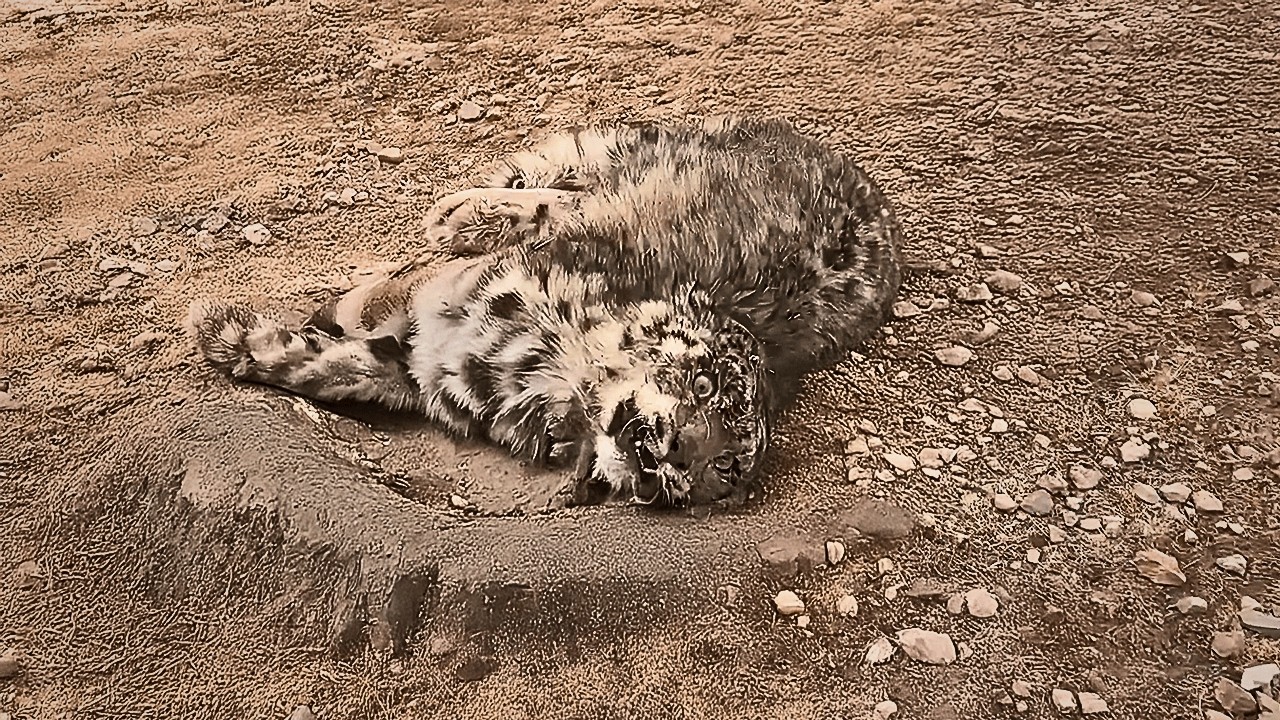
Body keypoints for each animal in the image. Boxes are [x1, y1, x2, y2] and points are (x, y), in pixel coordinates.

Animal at [187, 116, 903, 507]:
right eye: (704, 385)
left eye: (724, 467)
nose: (674, 454)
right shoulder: (439, 312)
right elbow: (363, 322)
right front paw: (225, 330)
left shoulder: (420, 370)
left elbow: (334, 365)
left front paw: (237, 338)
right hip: (613, 151)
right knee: (552, 182)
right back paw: (461, 212)